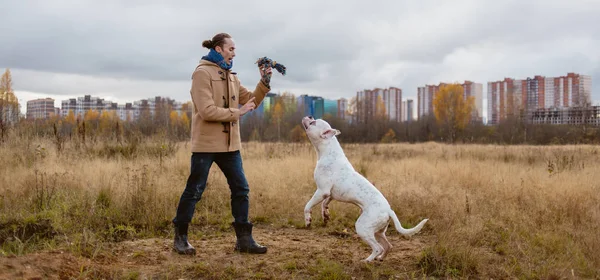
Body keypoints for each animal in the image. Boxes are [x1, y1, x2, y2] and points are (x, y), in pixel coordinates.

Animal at [302, 115, 428, 262]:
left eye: (313, 123)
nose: (309, 116)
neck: (327, 150)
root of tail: (389, 211)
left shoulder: (322, 191)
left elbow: (308, 206)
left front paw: (308, 220)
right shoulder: (330, 194)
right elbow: (324, 204)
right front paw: (325, 215)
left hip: (363, 227)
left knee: (377, 247)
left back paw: (366, 261)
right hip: (378, 231)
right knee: (388, 245)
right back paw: (379, 258)